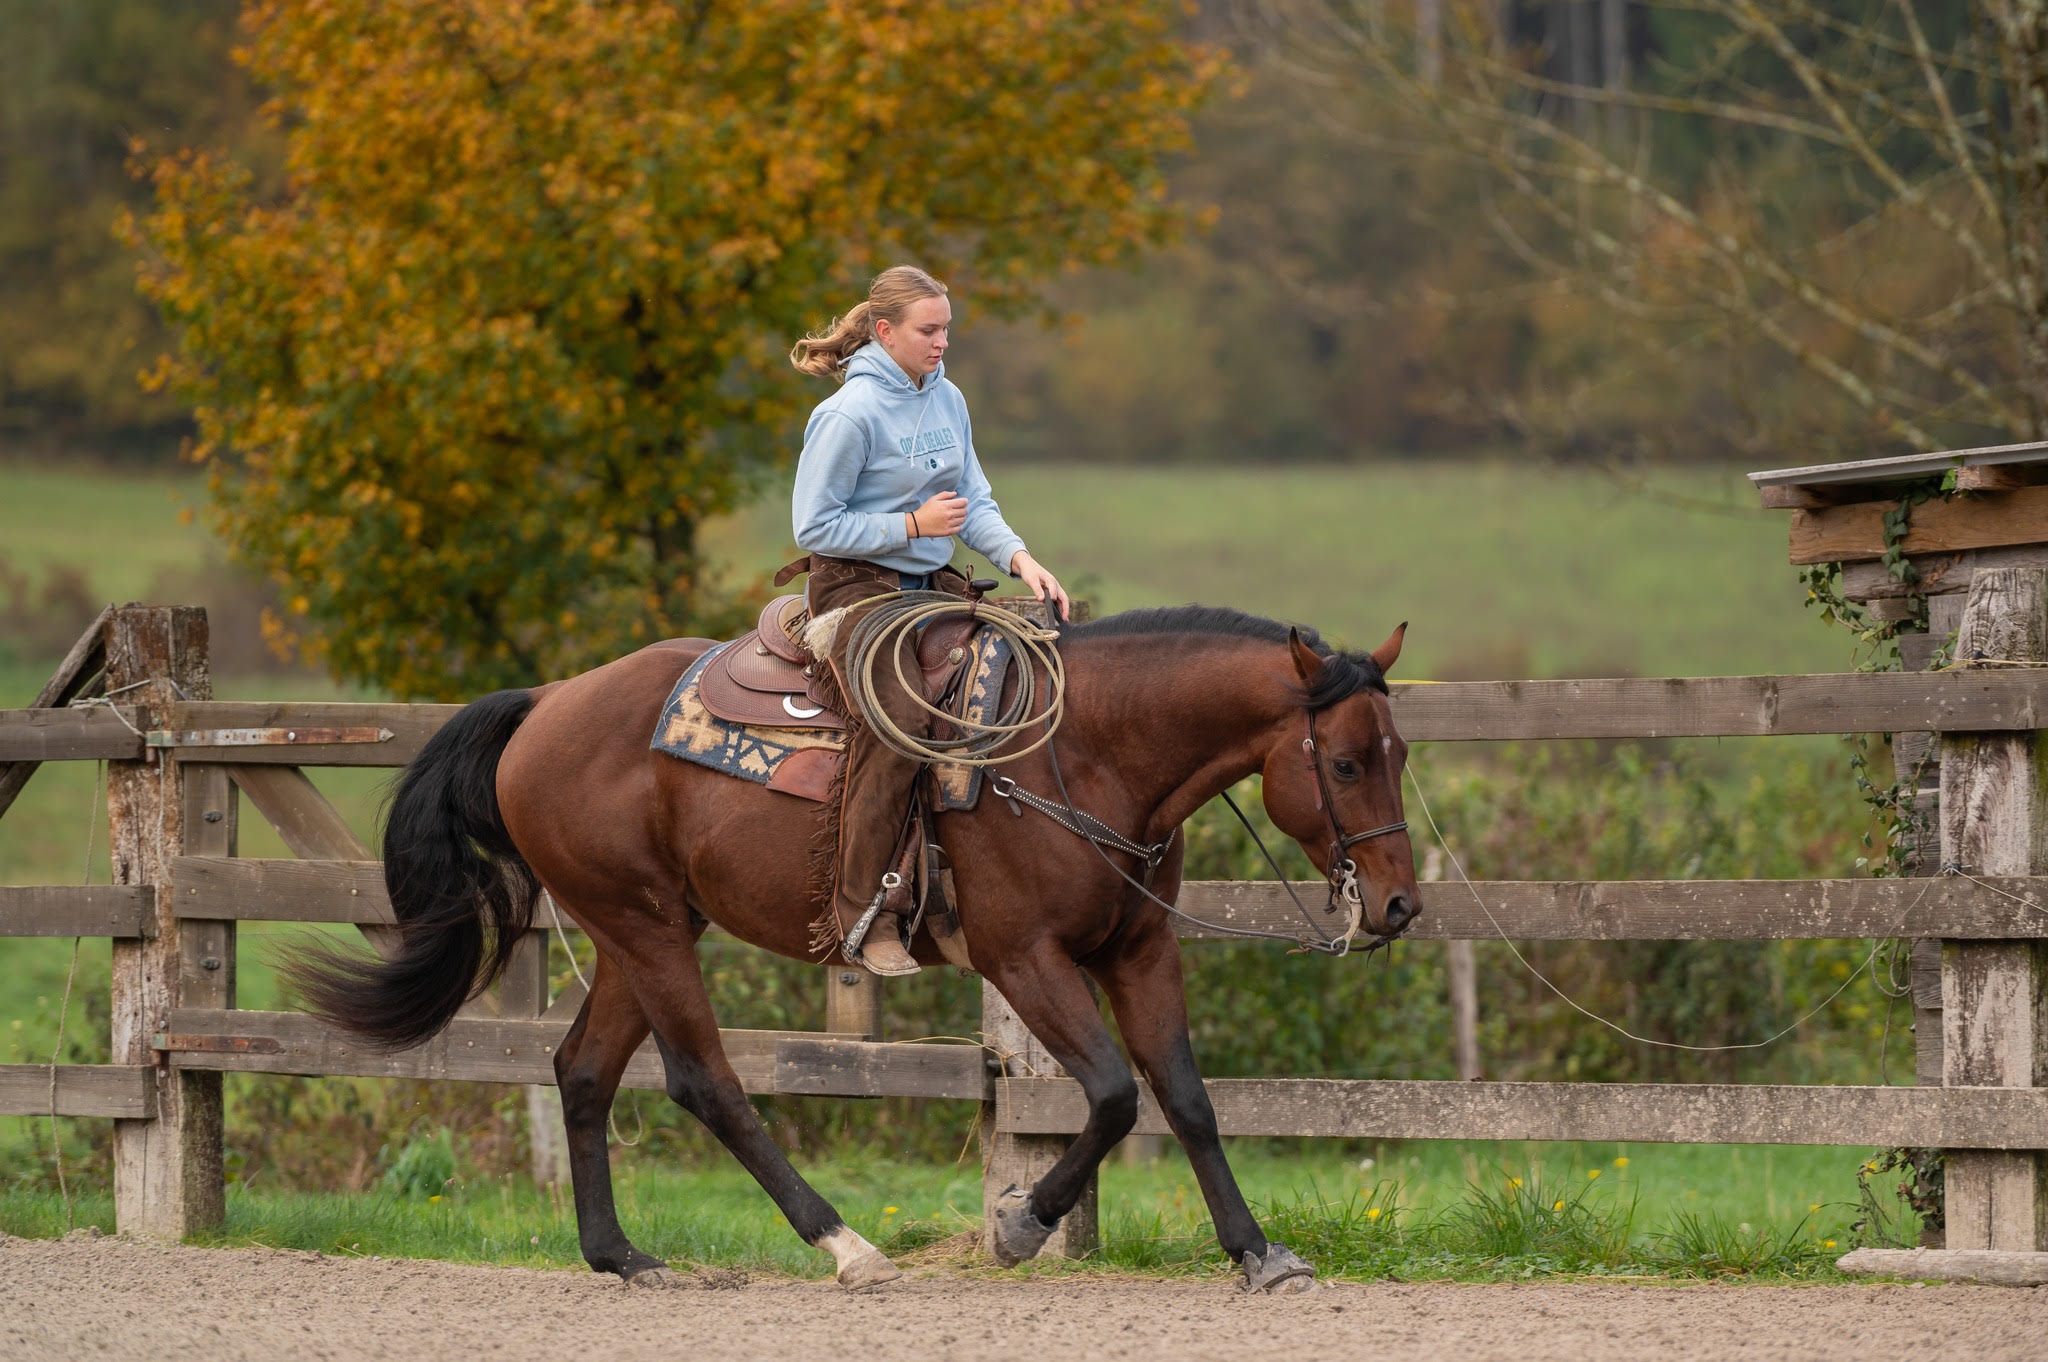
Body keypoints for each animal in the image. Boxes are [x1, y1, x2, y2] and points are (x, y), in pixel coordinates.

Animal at [290, 602, 1421, 1293]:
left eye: (1399, 753)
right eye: (1346, 762)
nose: (1400, 906)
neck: (1080, 751)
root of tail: (544, 706)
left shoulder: (1138, 951)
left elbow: (1184, 1097)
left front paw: (1256, 1252)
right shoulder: (1025, 959)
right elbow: (1108, 1095)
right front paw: (1019, 1226)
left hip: (637, 928)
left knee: (581, 1072)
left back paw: (621, 1256)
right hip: (647, 931)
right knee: (706, 1083)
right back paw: (847, 1246)